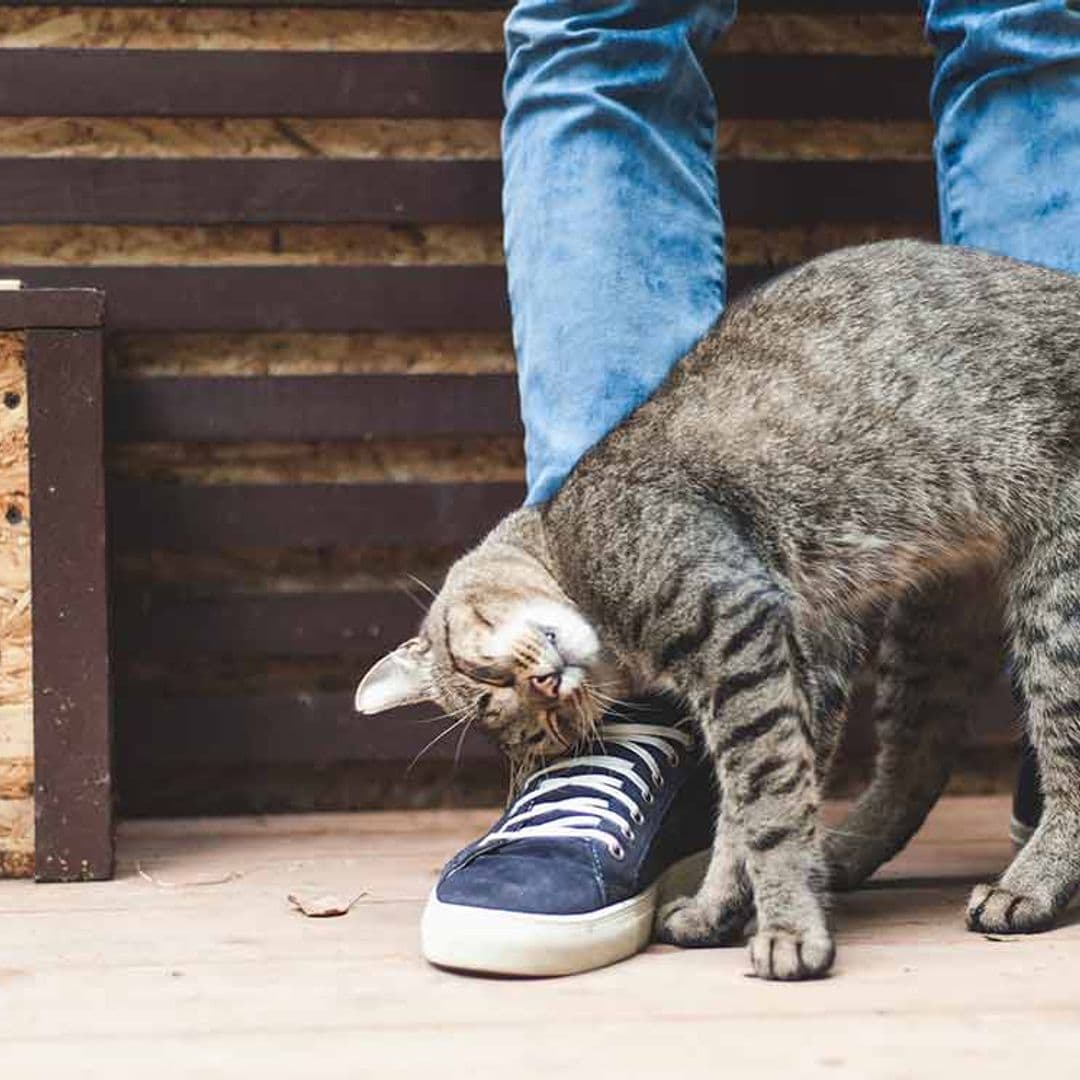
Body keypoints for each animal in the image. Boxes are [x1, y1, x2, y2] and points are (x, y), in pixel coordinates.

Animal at [354, 243, 1080, 980]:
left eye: (485, 681)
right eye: (546, 727)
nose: (546, 687)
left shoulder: (737, 631)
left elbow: (765, 801)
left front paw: (786, 926)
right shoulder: (797, 659)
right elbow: (757, 800)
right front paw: (722, 906)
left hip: (1057, 603)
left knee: (1062, 757)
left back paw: (1028, 884)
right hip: (929, 629)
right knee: (915, 760)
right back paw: (848, 854)